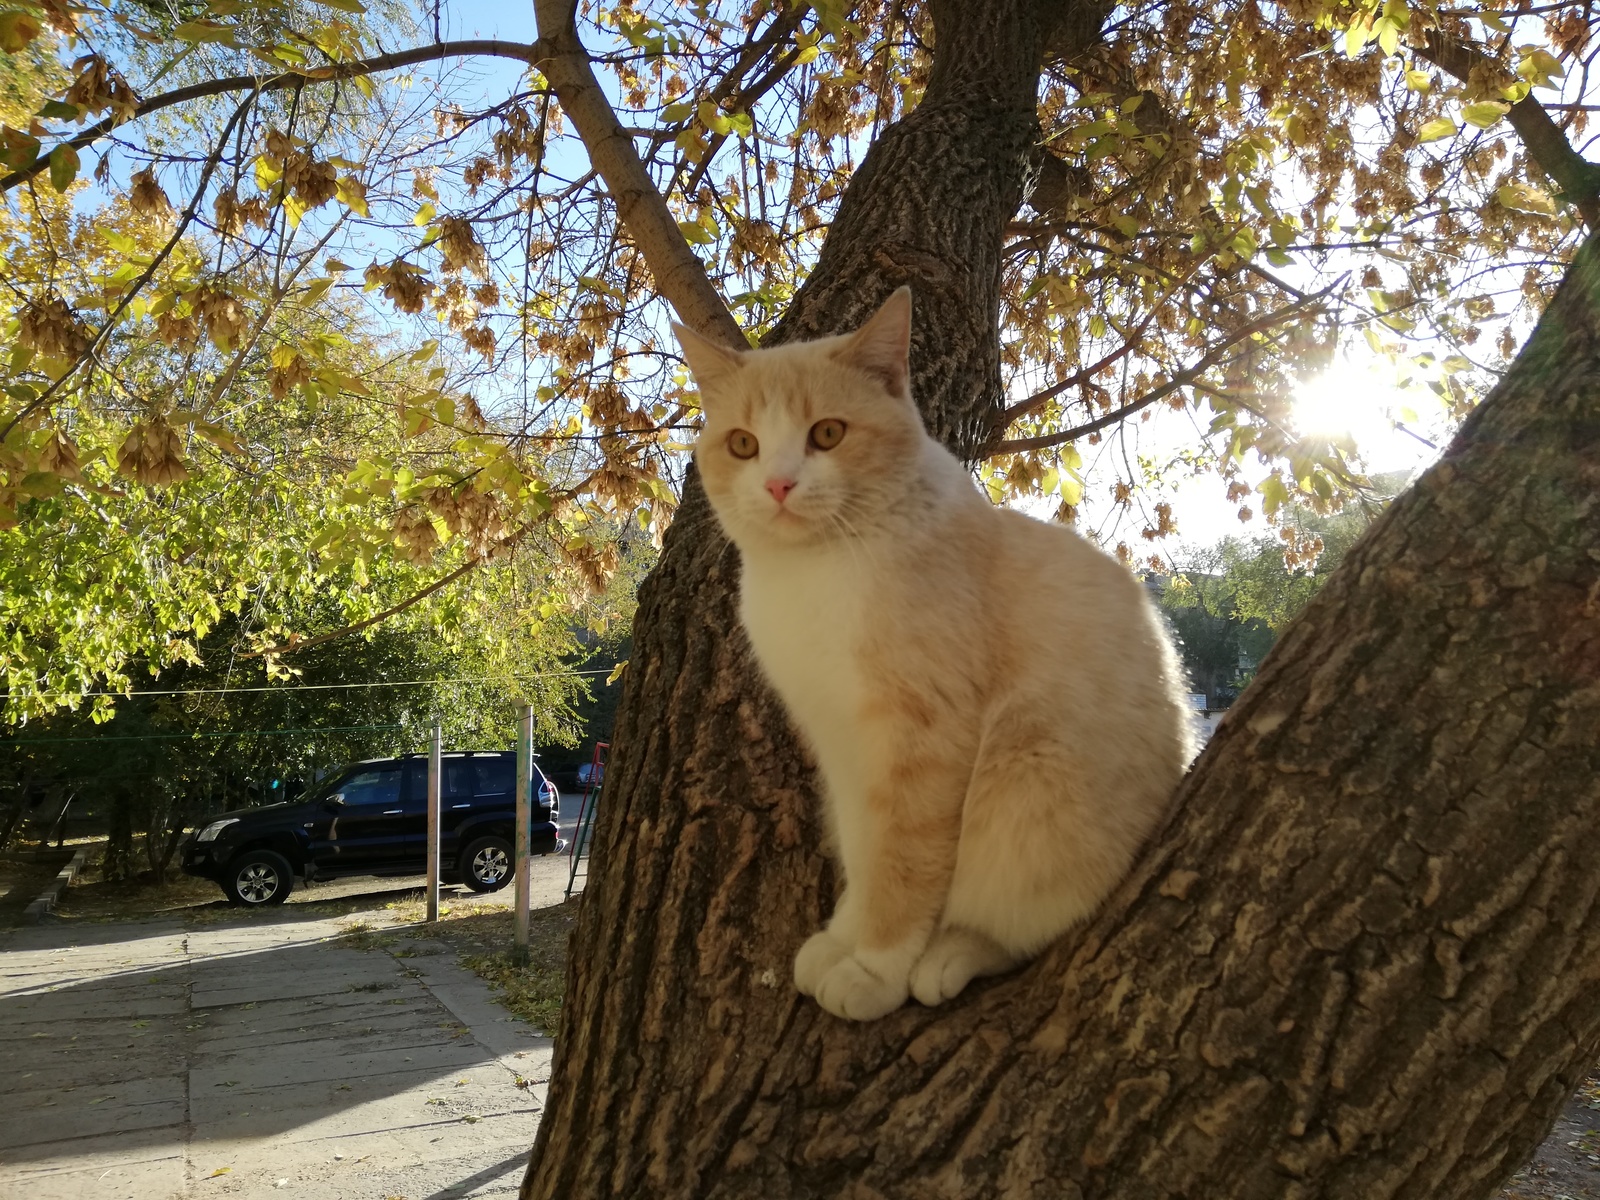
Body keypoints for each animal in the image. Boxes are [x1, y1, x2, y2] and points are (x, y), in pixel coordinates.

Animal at [668, 286, 1196, 1017]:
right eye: (743, 445)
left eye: (826, 434)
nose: (777, 485)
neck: (813, 573)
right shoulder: (842, 746)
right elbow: (865, 853)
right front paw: (845, 937)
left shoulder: (922, 738)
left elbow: (904, 866)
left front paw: (875, 968)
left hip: (1028, 775)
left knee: (1023, 922)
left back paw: (948, 957)